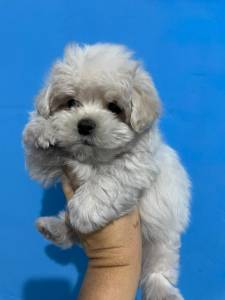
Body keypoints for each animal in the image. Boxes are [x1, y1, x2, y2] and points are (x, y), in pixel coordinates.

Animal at [22, 42, 191, 300]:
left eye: (114, 107)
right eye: (71, 103)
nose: (84, 124)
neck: (92, 157)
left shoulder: (137, 164)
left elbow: (109, 179)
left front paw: (84, 207)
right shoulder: (50, 167)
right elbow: (40, 160)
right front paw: (42, 128)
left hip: (163, 238)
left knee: (159, 268)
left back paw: (163, 291)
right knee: (69, 229)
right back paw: (55, 228)